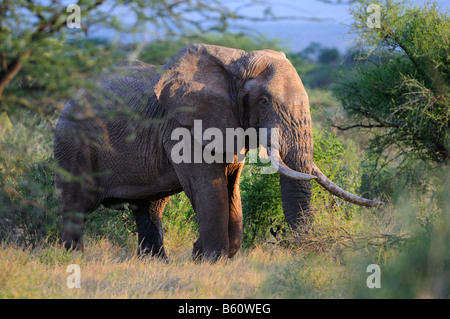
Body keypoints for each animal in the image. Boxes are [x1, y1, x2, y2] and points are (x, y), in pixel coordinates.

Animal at [53, 43, 384, 262]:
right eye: (263, 101)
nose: (305, 252)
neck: (235, 61)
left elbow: (231, 187)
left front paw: (206, 254)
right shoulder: (183, 126)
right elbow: (208, 188)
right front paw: (208, 258)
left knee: (149, 207)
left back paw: (154, 262)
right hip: (73, 143)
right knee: (78, 204)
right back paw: (72, 259)